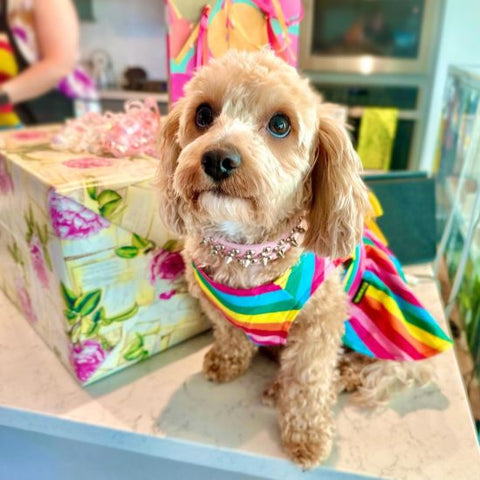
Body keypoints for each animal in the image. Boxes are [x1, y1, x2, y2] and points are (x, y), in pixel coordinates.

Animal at [157, 49, 438, 468]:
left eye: (280, 124)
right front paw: (227, 361)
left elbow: (308, 382)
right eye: (203, 114)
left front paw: (306, 437)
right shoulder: (214, 303)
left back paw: (339, 377)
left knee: (382, 367)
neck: (245, 251)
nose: (218, 158)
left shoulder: (320, 324)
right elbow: (229, 333)